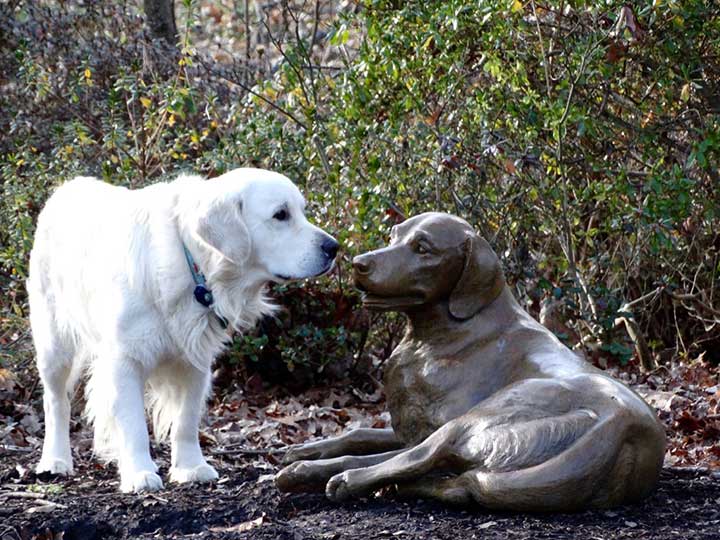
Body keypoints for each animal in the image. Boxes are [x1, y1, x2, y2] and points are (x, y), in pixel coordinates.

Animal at [29, 169, 338, 494]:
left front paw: (191, 467)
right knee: (56, 402)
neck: (195, 265)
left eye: (301, 211)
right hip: (54, 345)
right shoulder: (124, 361)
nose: (333, 247)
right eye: (281, 214)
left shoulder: (195, 361)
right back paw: (55, 460)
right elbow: (134, 425)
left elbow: (186, 421)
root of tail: (67, 187)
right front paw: (139, 473)